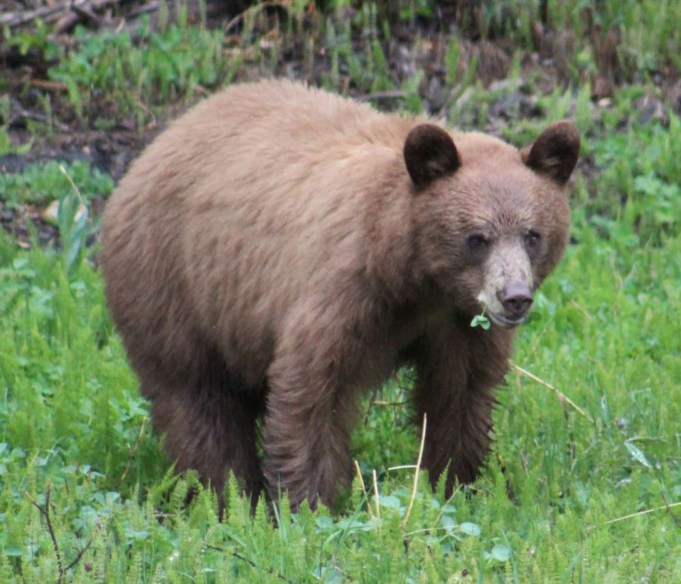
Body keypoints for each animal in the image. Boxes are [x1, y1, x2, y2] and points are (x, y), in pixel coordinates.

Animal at [100, 79, 579, 510]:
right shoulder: (342, 291)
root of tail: (153, 148)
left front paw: (457, 484)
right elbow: (311, 389)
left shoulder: (459, 324)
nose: (514, 297)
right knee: (198, 399)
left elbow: (459, 395)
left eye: (533, 234)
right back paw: (226, 494)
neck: (414, 278)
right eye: (477, 238)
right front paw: (309, 505)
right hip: (173, 285)